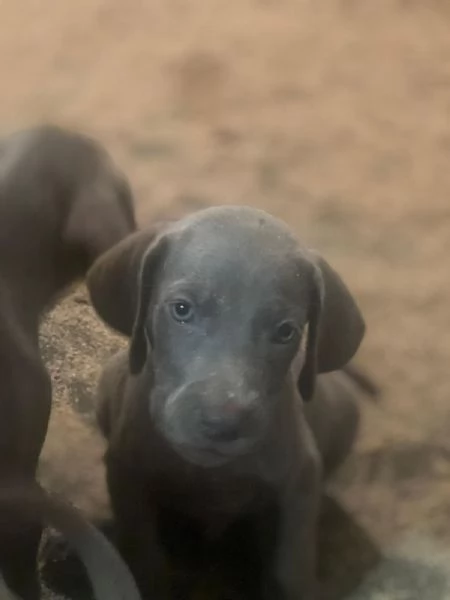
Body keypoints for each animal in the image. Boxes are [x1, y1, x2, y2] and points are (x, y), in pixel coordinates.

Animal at [87, 207, 366, 600]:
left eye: (286, 331)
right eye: (181, 309)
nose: (223, 423)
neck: (212, 473)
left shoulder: (301, 479)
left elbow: (291, 568)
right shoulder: (126, 474)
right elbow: (144, 557)